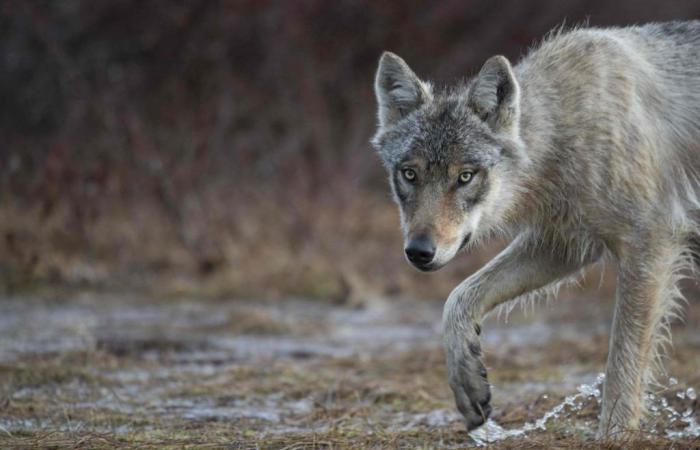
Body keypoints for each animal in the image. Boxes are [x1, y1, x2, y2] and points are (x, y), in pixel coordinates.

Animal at [370, 22, 700, 440]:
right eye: (409, 174)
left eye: (465, 176)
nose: (418, 251)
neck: (566, 130)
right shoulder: (565, 245)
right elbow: (458, 299)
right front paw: (468, 384)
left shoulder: (650, 245)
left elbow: (622, 367)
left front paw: (613, 437)